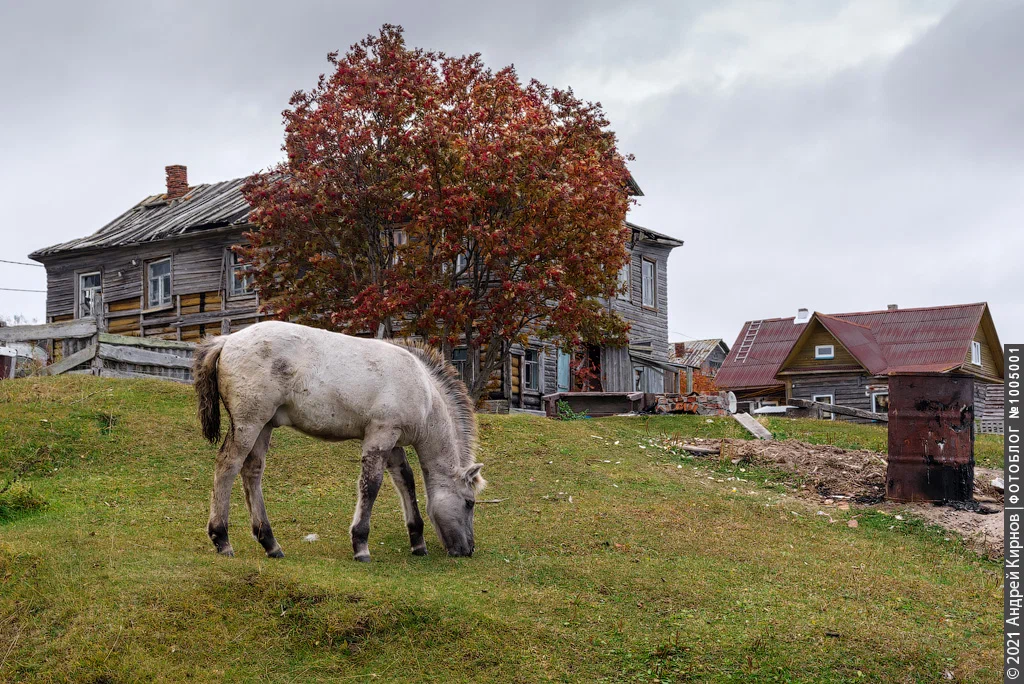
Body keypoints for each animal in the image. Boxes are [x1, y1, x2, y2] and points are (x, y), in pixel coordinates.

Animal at [193, 321, 485, 561]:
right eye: (469, 503)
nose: (468, 549)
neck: (423, 390)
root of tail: (227, 340)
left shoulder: (393, 442)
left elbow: (406, 481)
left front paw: (418, 542)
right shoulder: (381, 435)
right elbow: (371, 485)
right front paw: (361, 545)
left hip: (264, 426)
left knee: (252, 472)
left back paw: (270, 543)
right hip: (249, 423)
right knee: (228, 465)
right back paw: (222, 539)